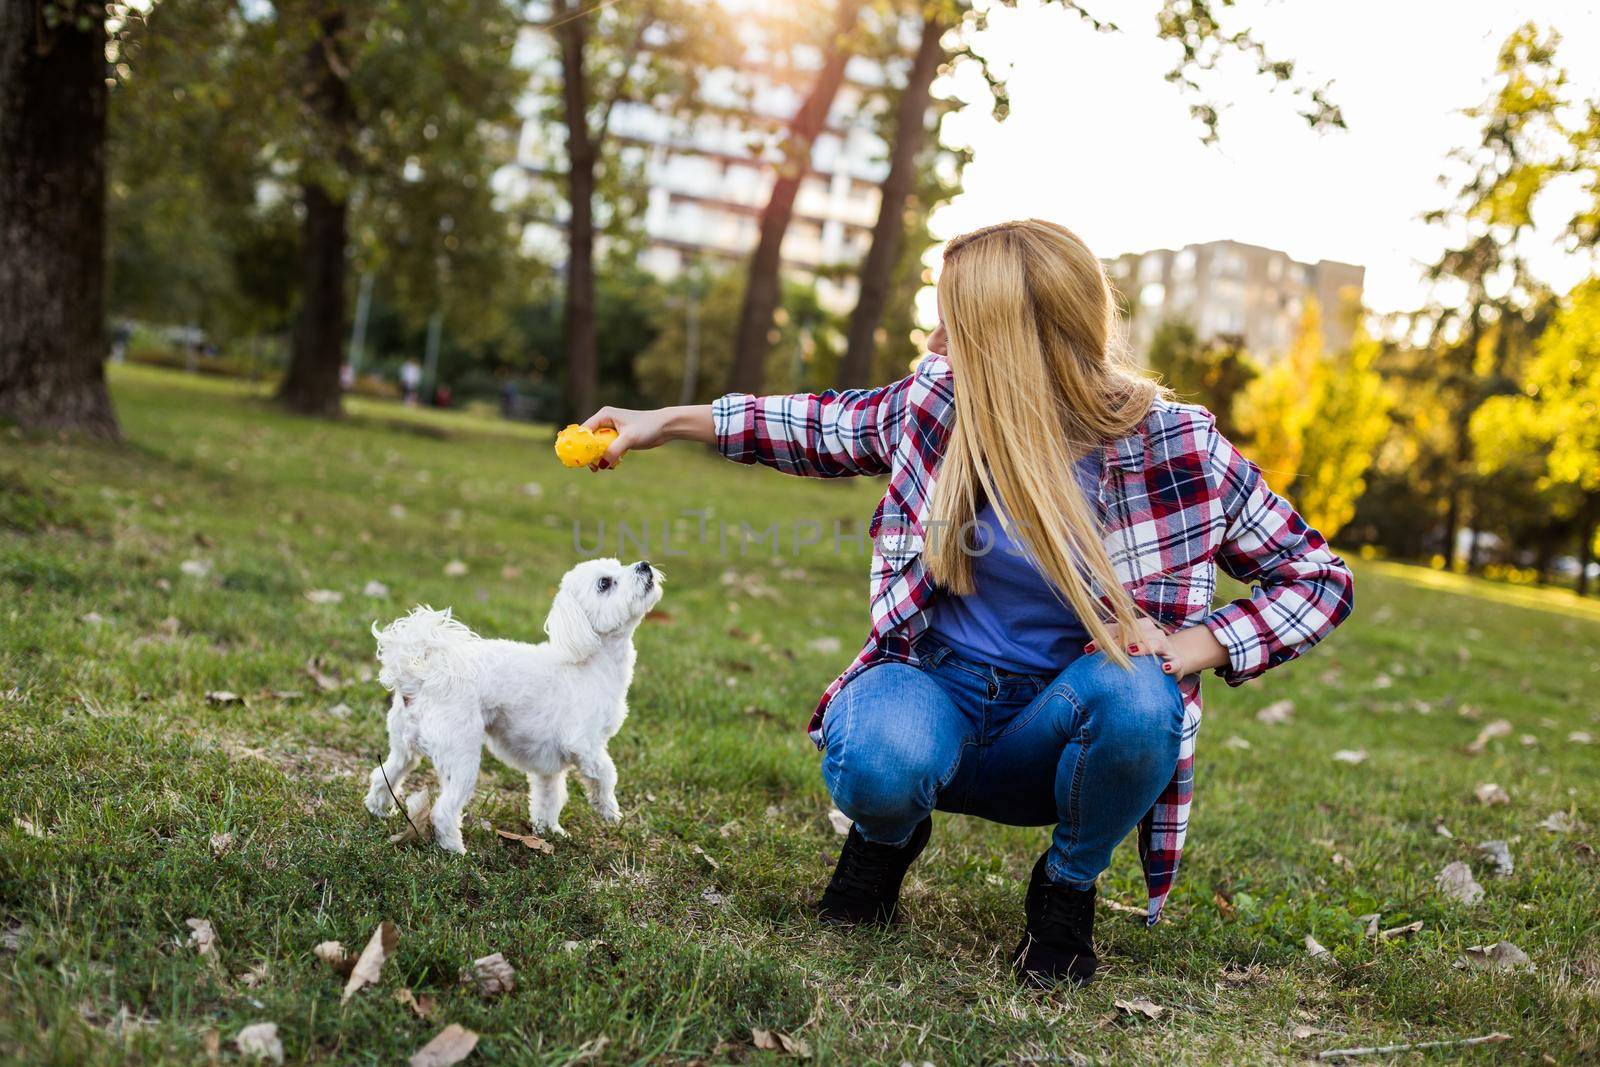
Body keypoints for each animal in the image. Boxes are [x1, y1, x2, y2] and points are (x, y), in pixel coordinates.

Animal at [364, 559, 662, 851]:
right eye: (604, 583)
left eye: (619, 564)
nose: (644, 565)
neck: (591, 661)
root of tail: (423, 677)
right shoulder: (585, 744)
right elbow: (606, 774)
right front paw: (610, 812)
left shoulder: (548, 767)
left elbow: (548, 799)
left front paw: (550, 831)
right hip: (461, 756)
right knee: (443, 811)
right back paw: (456, 849)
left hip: (404, 747)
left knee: (385, 775)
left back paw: (378, 810)